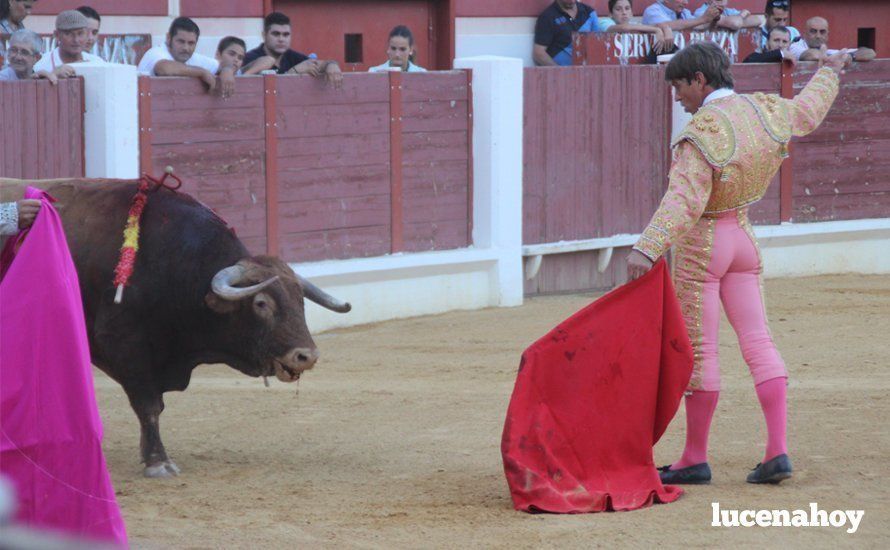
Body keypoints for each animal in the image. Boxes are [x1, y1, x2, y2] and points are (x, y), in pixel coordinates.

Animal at [0, 180, 350, 478]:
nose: (306, 356)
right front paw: (158, 462)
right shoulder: (124, 345)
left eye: (300, 300)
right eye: (261, 303)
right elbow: (149, 405)